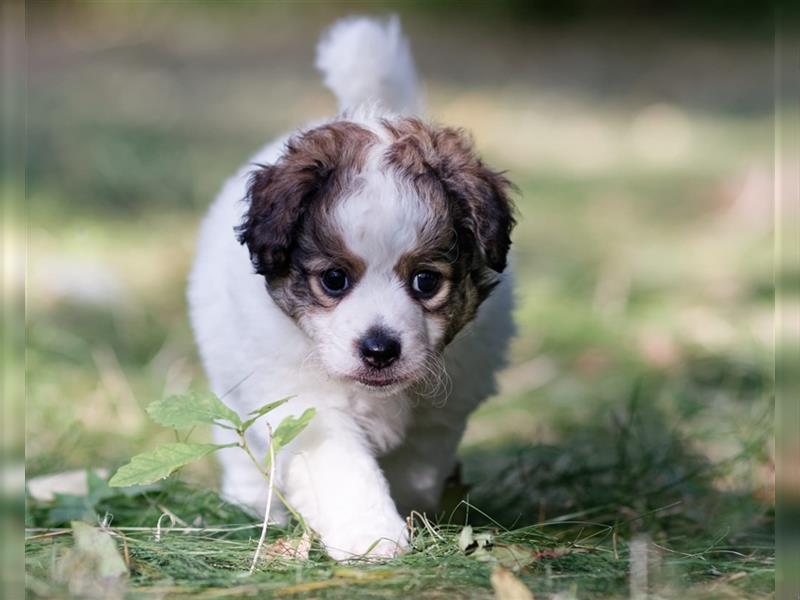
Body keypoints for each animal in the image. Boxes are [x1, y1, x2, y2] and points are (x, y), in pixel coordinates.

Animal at [188, 18, 516, 564]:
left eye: (426, 281)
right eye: (334, 280)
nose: (380, 350)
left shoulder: (440, 414)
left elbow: (416, 466)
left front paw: (410, 518)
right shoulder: (304, 405)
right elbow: (343, 471)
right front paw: (372, 538)